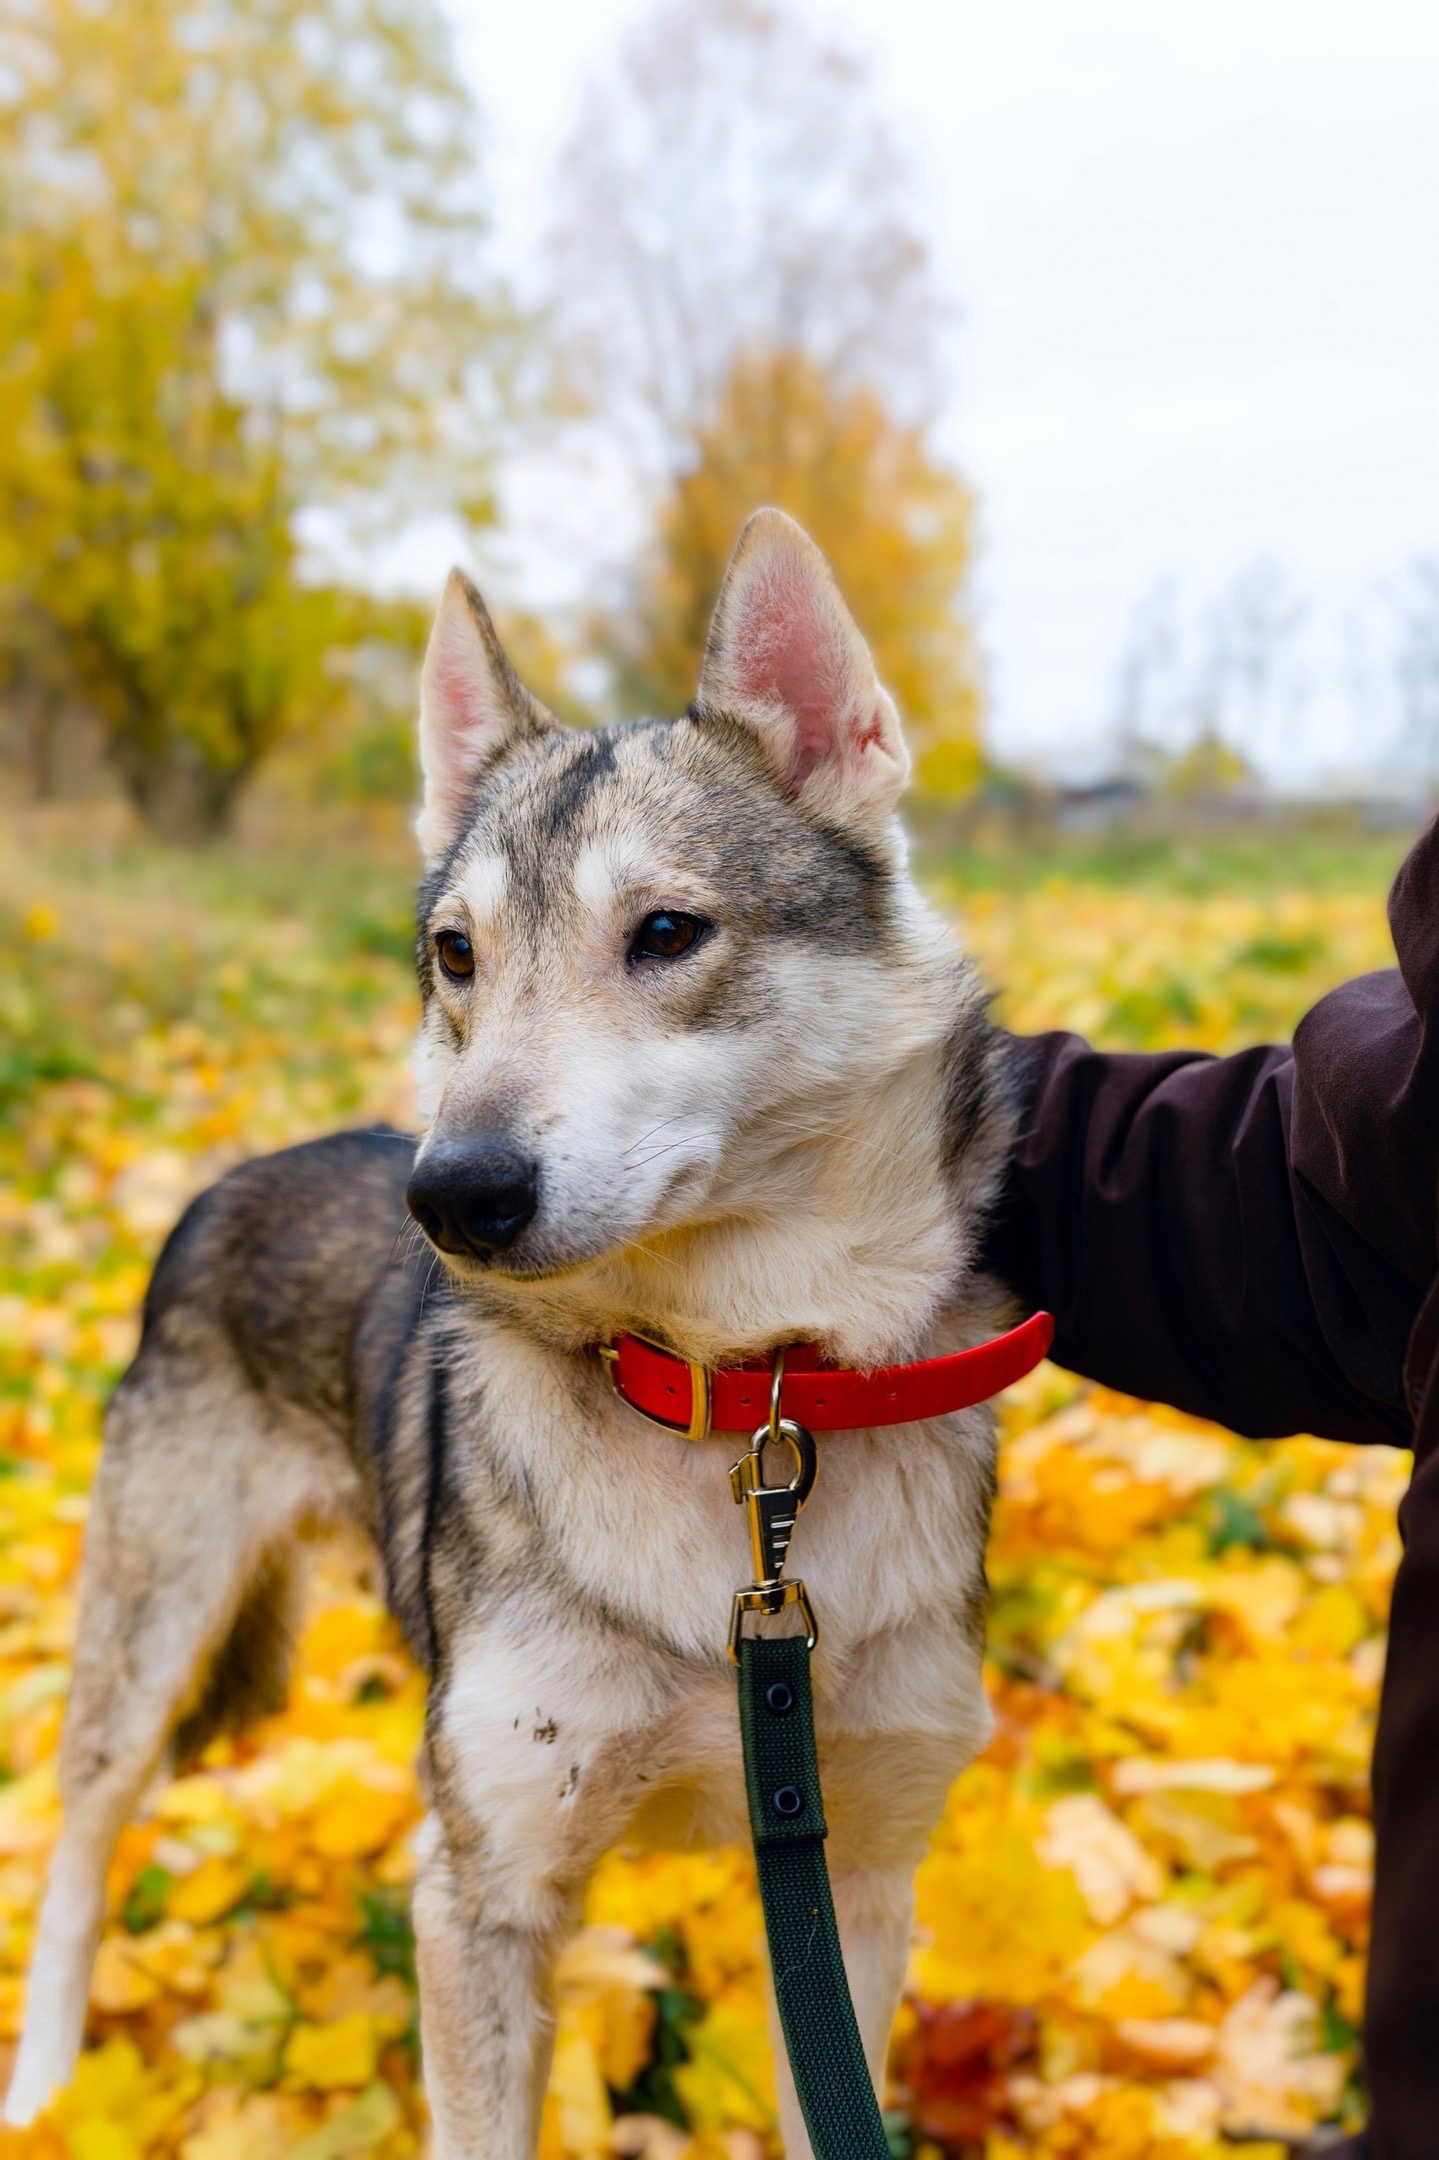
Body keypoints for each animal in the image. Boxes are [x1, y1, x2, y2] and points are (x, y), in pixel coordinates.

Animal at [8, 509, 1019, 2160]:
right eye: (454, 955)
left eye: (665, 933)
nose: (451, 1193)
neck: (732, 1393)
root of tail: (230, 1176)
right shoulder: (480, 1893)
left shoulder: (851, 1887)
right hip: (143, 1655)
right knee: (76, 1852)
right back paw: (43, 2091)